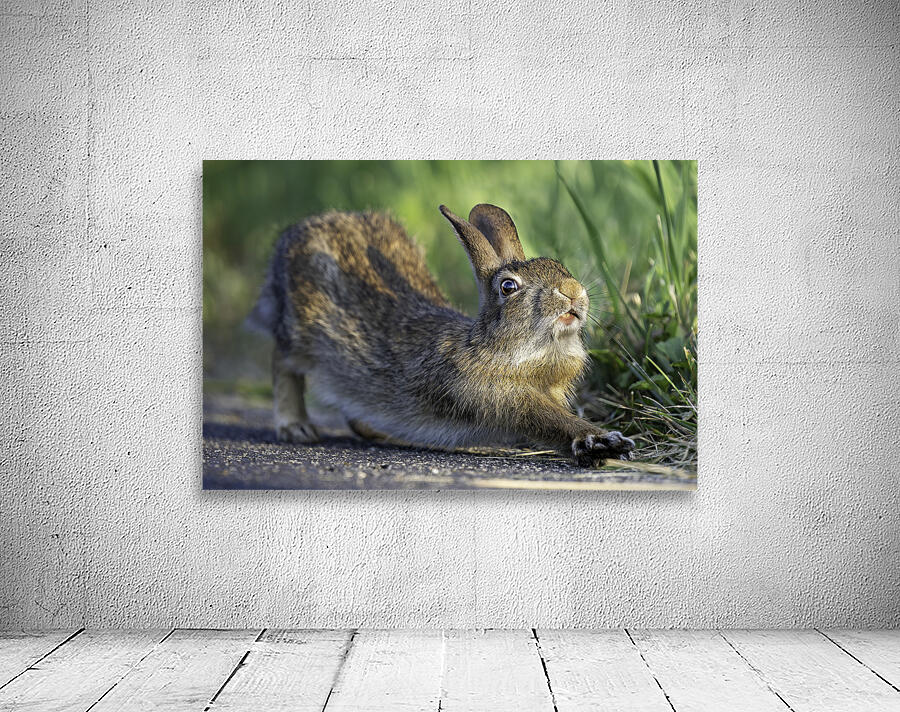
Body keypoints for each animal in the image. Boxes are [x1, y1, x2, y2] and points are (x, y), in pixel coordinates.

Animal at [249, 204, 635, 466]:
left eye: (560, 266)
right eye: (508, 287)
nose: (573, 292)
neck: (507, 350)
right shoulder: (499, 396)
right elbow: (551, 421)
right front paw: (601, 440)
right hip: (300, 333)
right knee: (281, 361)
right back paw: (295, 427)